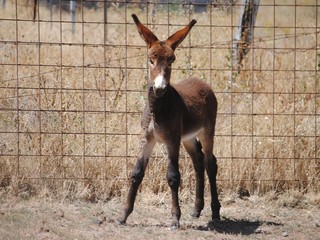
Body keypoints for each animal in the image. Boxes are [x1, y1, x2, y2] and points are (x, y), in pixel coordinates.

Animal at [119, 14, 221, 228]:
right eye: (150, 60)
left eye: (171, 60)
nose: (159, 88)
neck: (158, 109)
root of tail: (202, 82)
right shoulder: (147, 140)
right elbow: (136, 173)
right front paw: (123, 216)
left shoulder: (172, 140)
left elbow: (173, 176)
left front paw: (175, 218)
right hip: (188, 137)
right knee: (198, 161)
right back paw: (197, 209)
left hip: (207, 131)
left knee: (210, 163)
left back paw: (215, 212)